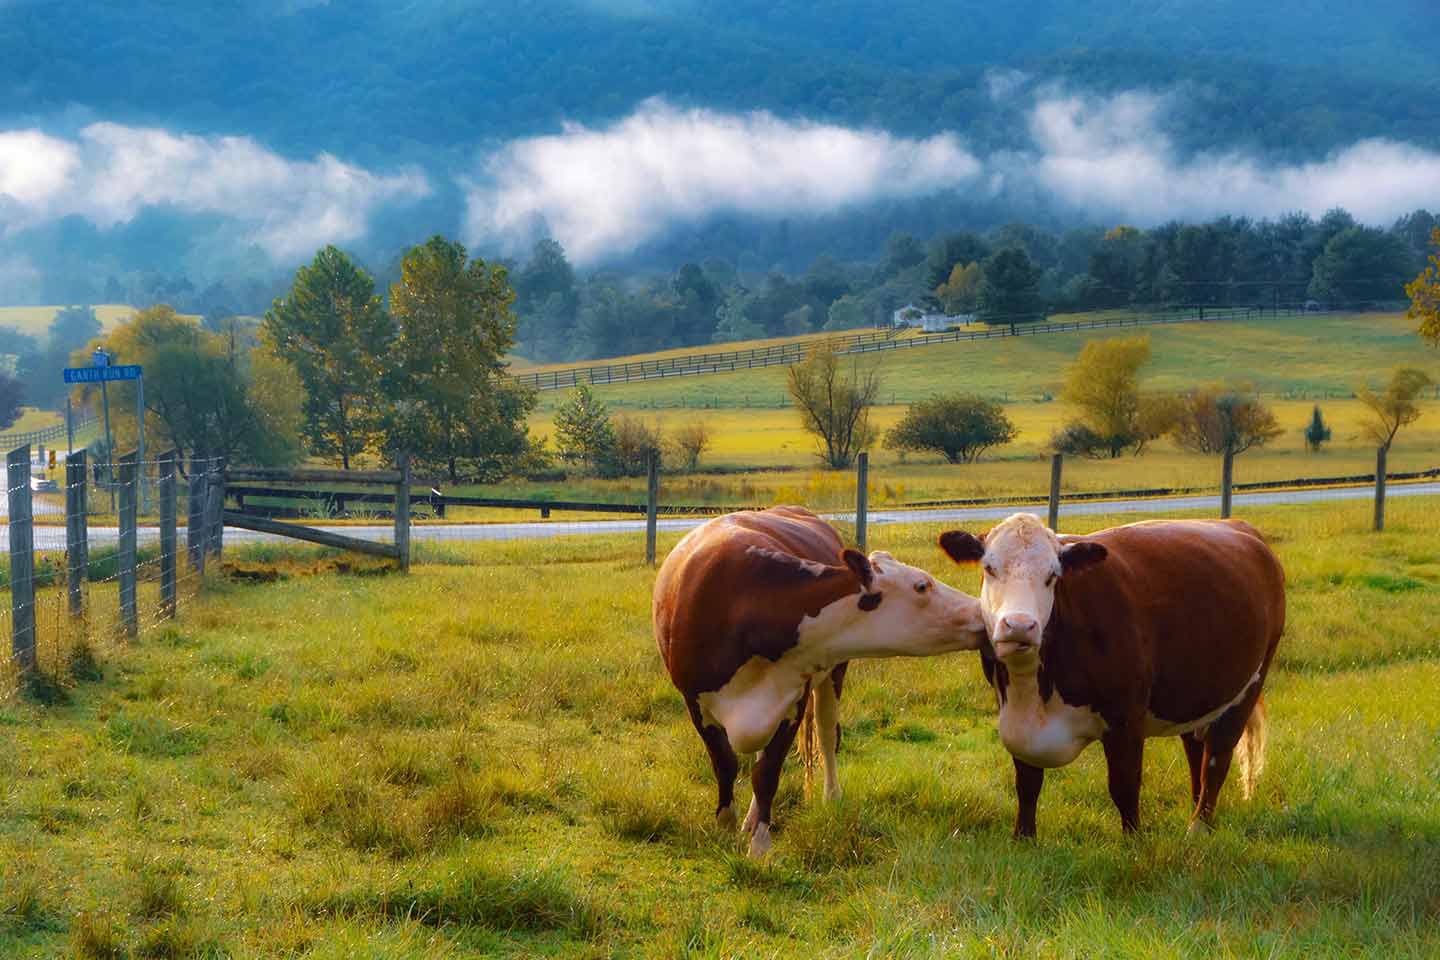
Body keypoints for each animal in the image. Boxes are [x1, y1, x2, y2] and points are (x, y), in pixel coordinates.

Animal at [656, 506, 984, 857]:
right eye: (922, 586)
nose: (981, 612)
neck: (746, 608)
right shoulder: (695, 702)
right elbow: (726, 765)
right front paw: (727, 827)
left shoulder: (793, 700)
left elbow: (767, 774)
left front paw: (759, 846)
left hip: (834, 674)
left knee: (827, 736)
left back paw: (829, 796)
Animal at [938, 515, 1290, 834]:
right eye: (989, 568)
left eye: (1053, 576)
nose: (1019, 626)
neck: (1033, 691)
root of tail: (1236, 524)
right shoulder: (1017, 719)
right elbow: (1027, 783)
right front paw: (1024, 838)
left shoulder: (1126, 719)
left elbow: (1124, 785)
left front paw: (1133, 842)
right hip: (1196, 692)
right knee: (1195, 750)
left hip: (1249, 685)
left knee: (1216, 758)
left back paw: (1198, 827)